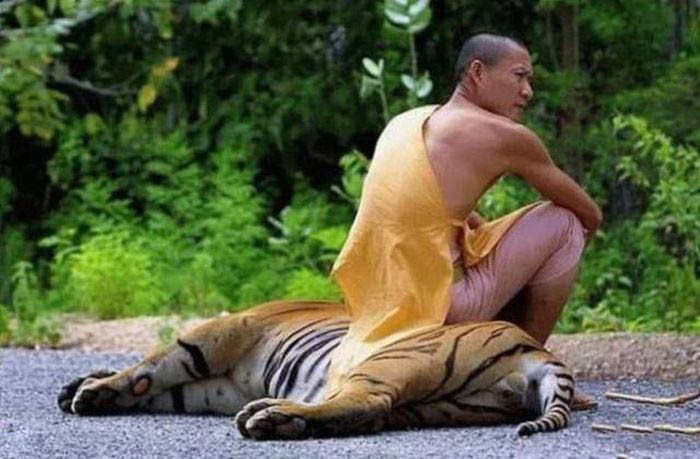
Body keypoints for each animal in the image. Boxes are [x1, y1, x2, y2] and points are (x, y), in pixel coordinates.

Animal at [58, 300, 576, 439]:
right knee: (371, 414)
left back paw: (270, 418)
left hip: (392, 361)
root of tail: (538, 351)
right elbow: (161, 386)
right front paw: (86, 385)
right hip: (440, 405)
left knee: (367, 400)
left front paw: (92, 391)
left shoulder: (225, 329)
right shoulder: (217, 387)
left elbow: (154, 364)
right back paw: (280, 418)